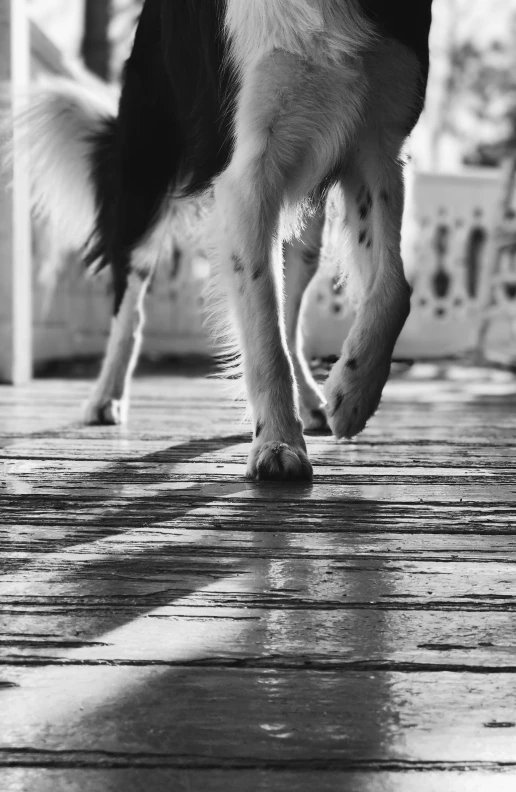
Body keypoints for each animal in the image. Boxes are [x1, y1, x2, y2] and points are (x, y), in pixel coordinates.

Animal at [13, 1, 432, 482]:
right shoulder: (248, 173)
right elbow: (264, 331)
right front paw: (278, 444)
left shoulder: (378, 148)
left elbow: (394, 289)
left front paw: (353, 393)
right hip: (147, 176)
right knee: (129, 303)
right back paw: (105, 397)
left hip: (307, 232)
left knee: (292, 307)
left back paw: (314, 400)